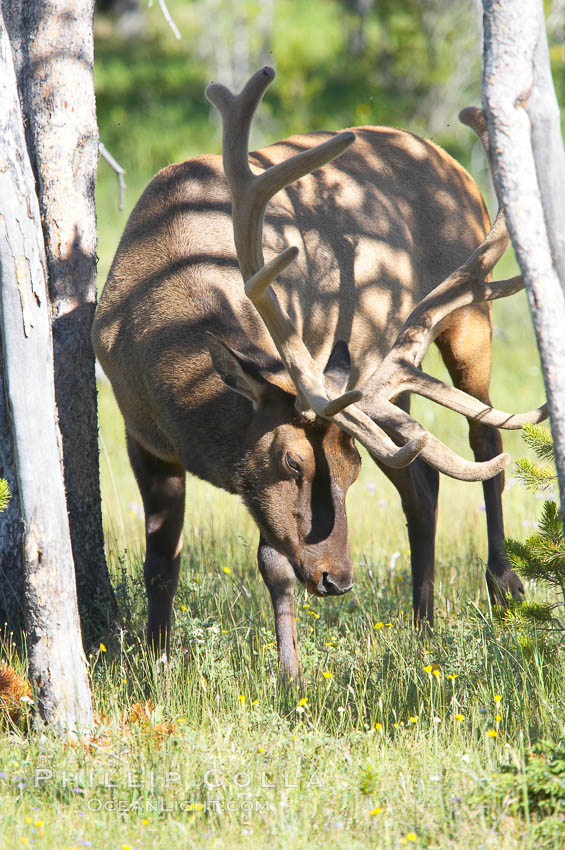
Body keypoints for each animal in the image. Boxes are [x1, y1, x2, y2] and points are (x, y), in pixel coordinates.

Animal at [92, 68, 548, 676]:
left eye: (350, 473)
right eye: (292, 462)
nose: (338, 579)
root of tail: (445, 155)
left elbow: (274, 563)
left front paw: (290, 673)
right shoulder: (141, 432)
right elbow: (162, 562)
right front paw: (156, 660)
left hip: (470, 317)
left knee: (486, 442)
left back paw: (503, 587)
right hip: (384, 383)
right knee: (422, 482)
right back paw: (423, 626)